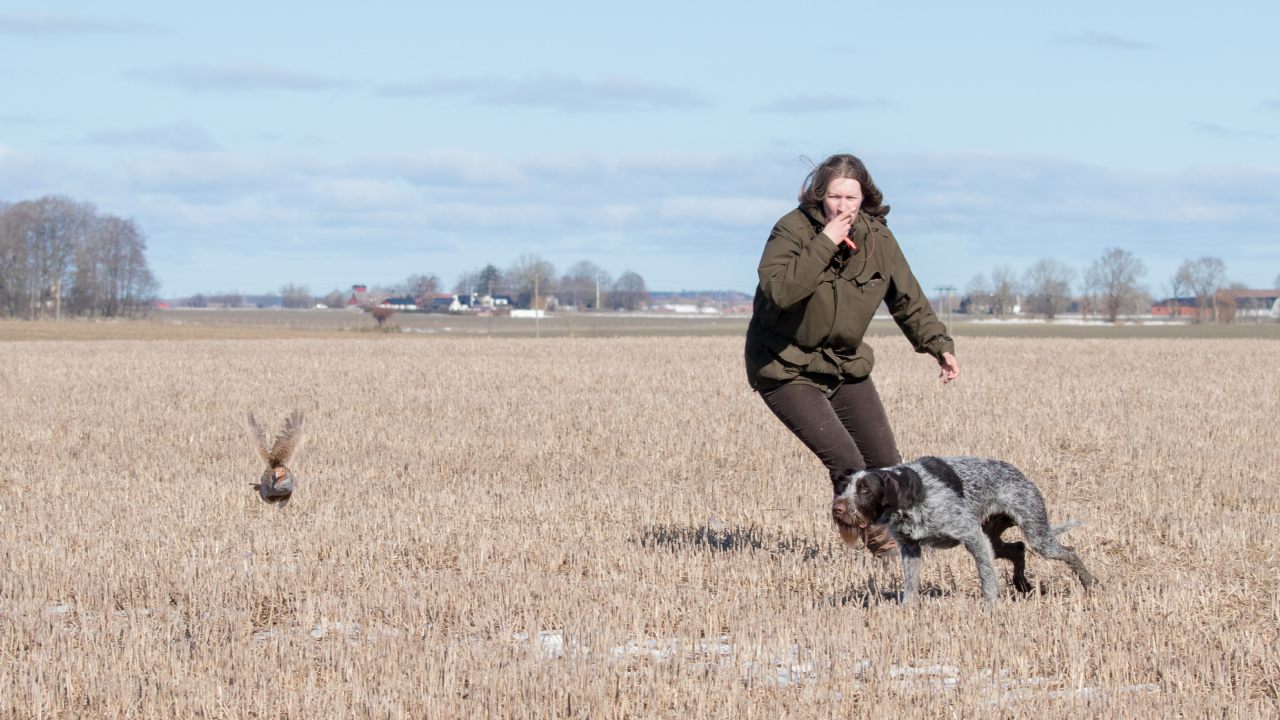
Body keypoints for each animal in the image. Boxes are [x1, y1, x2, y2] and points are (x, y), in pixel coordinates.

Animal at [831, 456, 1097, 604]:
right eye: (844, 488)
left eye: (865, 490)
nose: (837, 508)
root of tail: (1020, 474)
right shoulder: (910, 548)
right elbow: (911, 583)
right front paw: (908, 609)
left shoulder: (971, 535)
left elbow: (987, 578)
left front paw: (990, 606)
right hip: (994, 539)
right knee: (1018, 548)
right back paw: (1022, 584)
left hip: (1036, 534)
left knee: (1068, 551)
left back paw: (1091, 583)